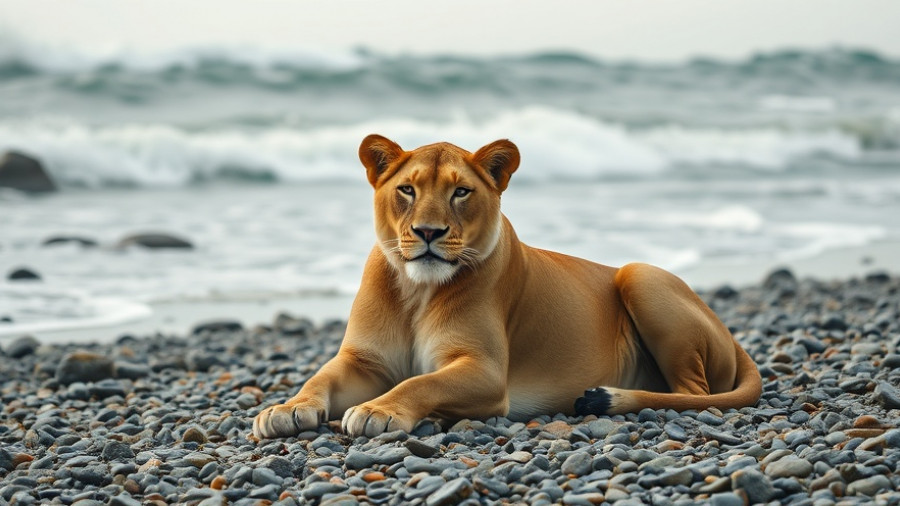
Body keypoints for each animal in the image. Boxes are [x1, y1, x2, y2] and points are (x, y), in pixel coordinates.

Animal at [253, 134, 762, 439]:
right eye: (407, 190)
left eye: (461, 191)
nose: (428, 232)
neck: (417, 291)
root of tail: (734, 341)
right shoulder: (364, 361)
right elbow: (319, 377)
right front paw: (284, 409)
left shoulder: (485, 370)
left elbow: (421, 382)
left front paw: (379, 411)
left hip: (641, 273)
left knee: (693, 395)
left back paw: (603, 397)